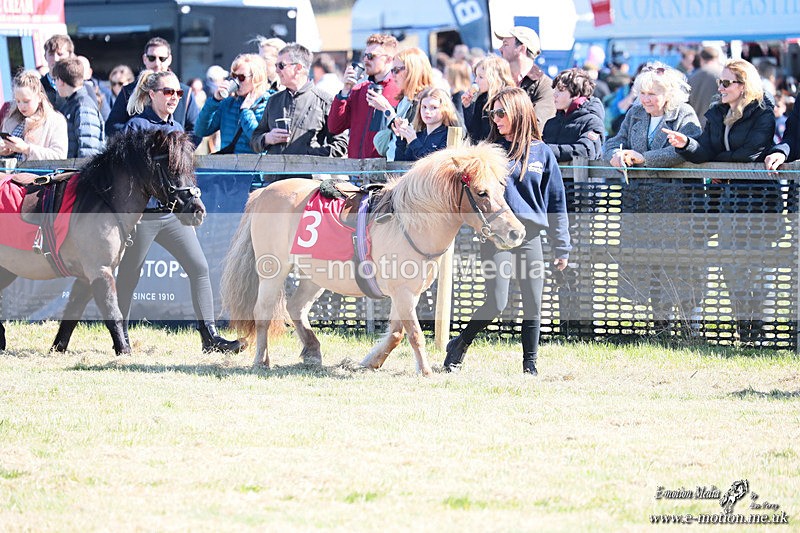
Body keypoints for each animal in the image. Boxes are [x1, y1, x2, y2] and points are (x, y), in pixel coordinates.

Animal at [0, 129, 205, 354]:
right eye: (172, 169)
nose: (197, 210)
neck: (102, 202)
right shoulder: (100, 271)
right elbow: (112, 313)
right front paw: (124, 350)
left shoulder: (86, 278)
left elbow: (72, 314)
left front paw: (58, 348)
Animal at [222, 142, 526, 376]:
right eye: (481, 192)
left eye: (500, 190)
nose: (516, 232)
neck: (408, 224)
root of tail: (263, 192)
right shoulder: (403, 293)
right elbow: (414, 333)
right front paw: (425, 371)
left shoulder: (407, 294)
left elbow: (396, 333)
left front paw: (370, 362)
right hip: (272, 271)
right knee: (262, 313)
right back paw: (262, 361)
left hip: (314, 275)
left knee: (296, 308)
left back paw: (312, 351)